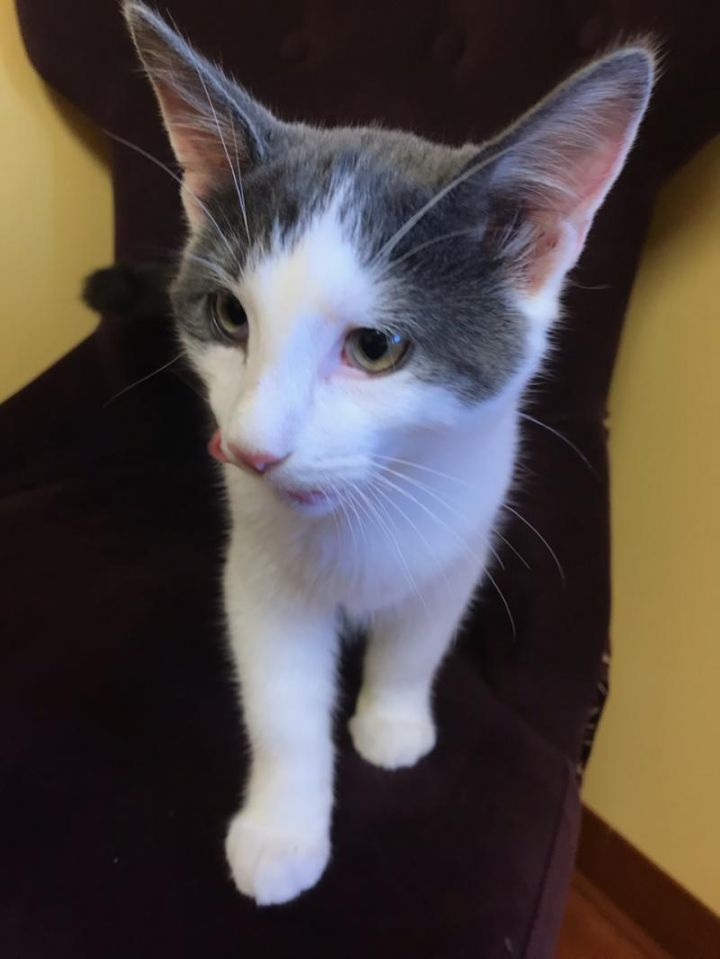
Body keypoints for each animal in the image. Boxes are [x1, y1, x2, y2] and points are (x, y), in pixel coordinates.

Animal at [123, 2, 654, 906]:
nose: (251, 450)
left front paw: (392, 722)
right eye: (229, 315)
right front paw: (283, 831)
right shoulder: (258, 566)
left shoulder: (465, 533)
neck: (363, 514)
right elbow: (281, 698)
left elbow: (419, 636)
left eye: (376, 347)